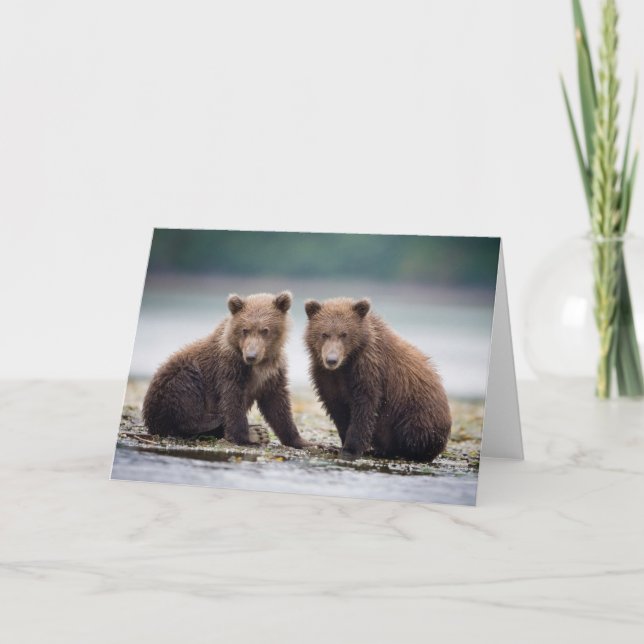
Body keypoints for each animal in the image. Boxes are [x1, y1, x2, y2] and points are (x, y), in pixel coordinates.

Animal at [142, 291, 307, 448]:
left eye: (265, 330)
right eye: (245, 330)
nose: (251, 356)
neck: (258, 365)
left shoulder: (272, 372)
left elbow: (277, 405)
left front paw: (302, 441)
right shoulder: (229, 367)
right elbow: (232, 400)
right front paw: (245, 437)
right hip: (172, 382)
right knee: (185, 392)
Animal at [304, 297, 451, 462]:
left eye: (344, 334)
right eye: (324, 334)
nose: (331, 360)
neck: (346, 364)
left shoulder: (369, 371)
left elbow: (364, 409)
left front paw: (350, 449)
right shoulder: (326, 377)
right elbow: (337, 408)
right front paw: (340, 445)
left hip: (416, 411)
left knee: (415, 434)